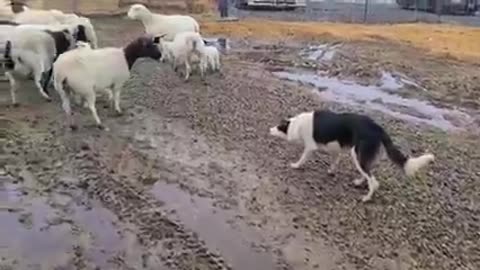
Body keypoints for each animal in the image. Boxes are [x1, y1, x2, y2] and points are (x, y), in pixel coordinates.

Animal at [270, 109, 436, 200]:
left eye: (279, 126)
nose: (270, 129)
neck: (296, 124)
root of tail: (378, 128)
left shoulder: (310, 147)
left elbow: (302, 158)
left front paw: (295, 165)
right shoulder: (335, 150)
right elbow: (334, 161)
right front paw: (331, 171)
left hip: (357, 154)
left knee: (373, 181)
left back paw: (366, 198)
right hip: (362, 156)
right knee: (368, 173)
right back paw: (359, 182)